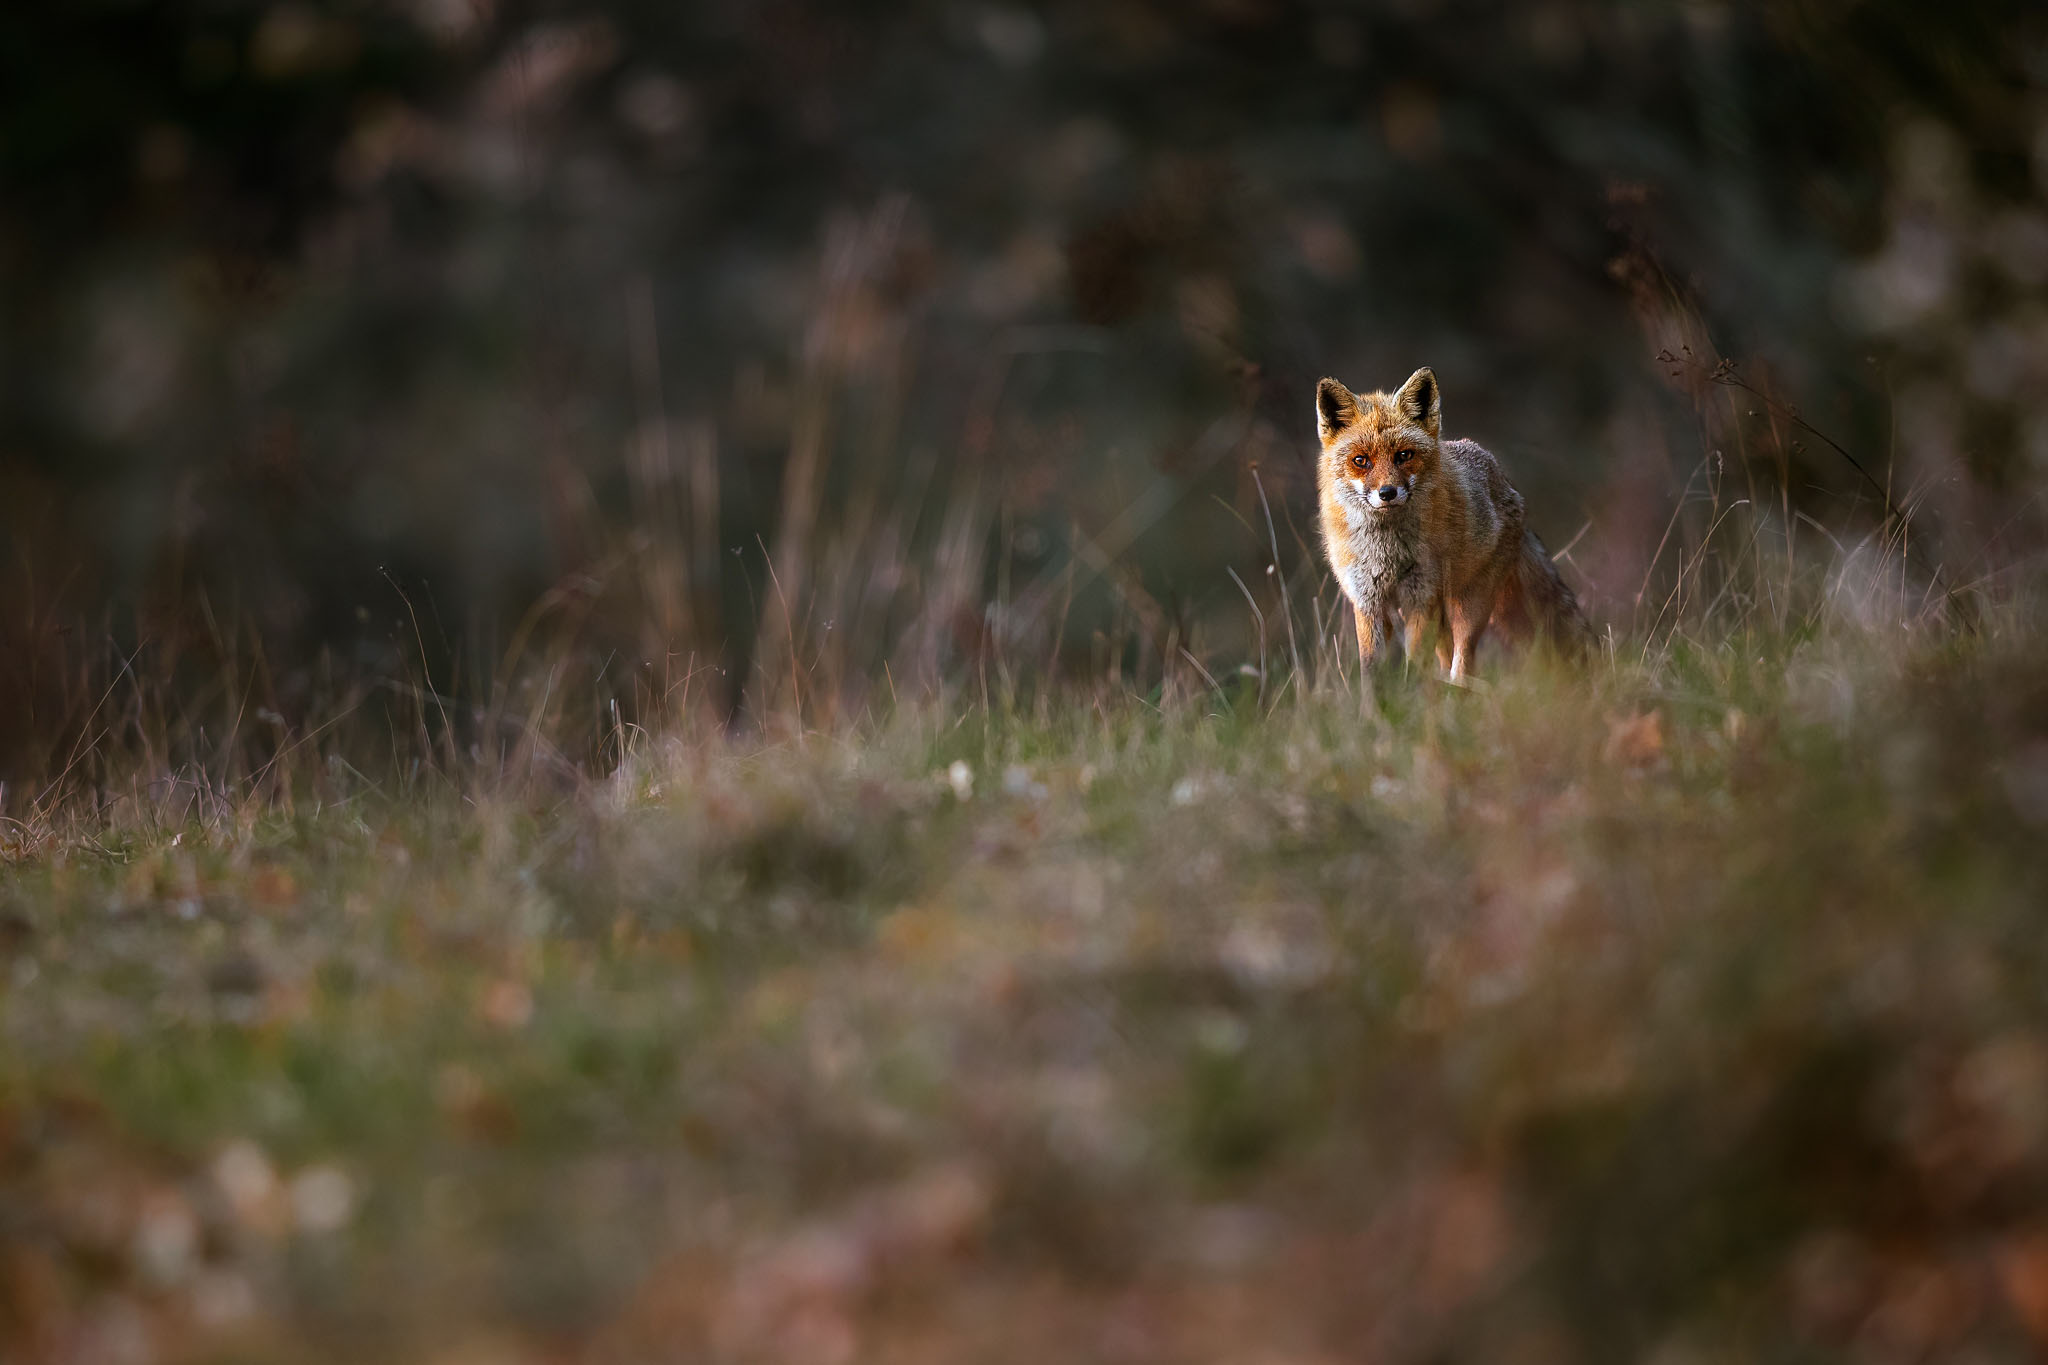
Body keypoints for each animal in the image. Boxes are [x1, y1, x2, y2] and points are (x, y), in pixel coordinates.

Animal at [1316, 367, 1591, 681]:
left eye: (1404, 455)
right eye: (1361, 460)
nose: (1387, 493)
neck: (1387, 551)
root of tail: (1504, 479)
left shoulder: (1421, 598)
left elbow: (1415, 667)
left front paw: (1412, 694)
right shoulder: (1368, 603)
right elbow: (1372, 671)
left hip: (1466, 606)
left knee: (1463, 663)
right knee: (1446, 659)